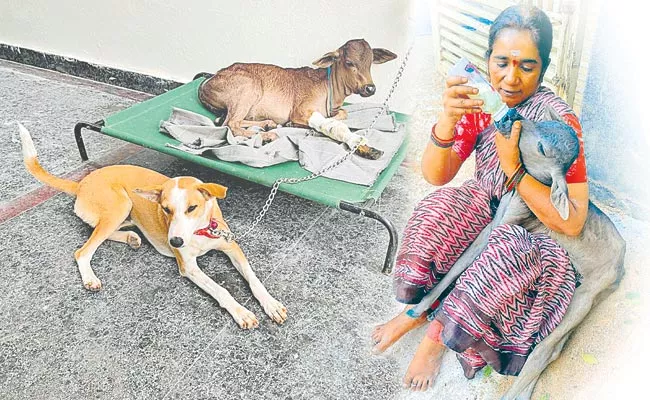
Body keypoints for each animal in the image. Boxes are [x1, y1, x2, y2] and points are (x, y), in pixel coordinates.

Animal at [17, 124, 284, 328]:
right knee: (83, 250)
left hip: (123, 212)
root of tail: (81, 184)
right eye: (165, 209)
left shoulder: (231, 247)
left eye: (192, 208)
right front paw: (241, 312)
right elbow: (221, 290)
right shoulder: (188, 266)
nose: (175, 241)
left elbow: (253, 278)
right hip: (120, 204)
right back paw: (91, 277)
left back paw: (131, 238)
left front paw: (270, 304)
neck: (199, 232)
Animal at [196, 38, 394, 159]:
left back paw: (268, 124)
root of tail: (208, 81)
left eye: (370, 63)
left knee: (231, 121)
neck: (331, 90)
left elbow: (343, 113)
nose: (370, 88)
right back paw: (266, 135)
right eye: (349, 62)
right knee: (230, 123)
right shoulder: (301, 110)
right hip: (248, 89)